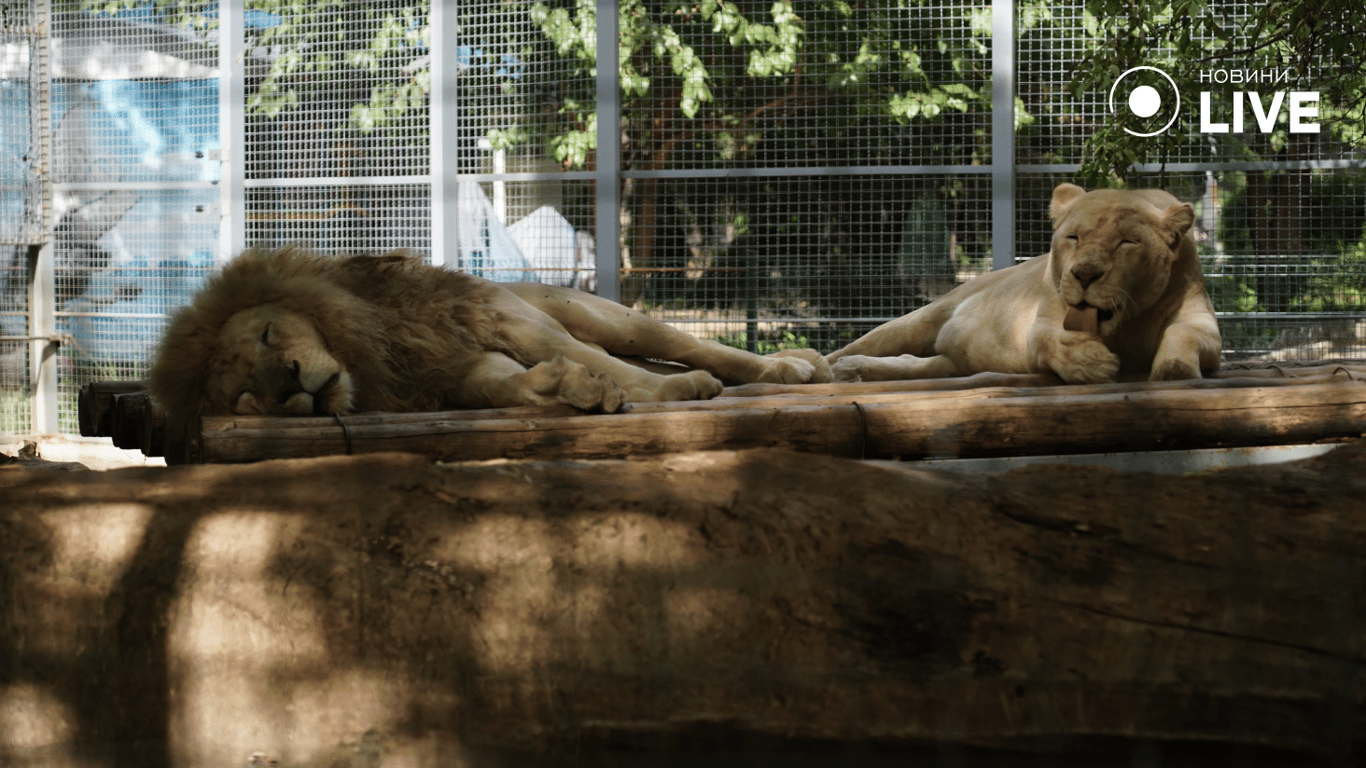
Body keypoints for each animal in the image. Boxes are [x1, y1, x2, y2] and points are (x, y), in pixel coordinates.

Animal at [153, 244, 825, 420]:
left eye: (269, 335)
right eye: (246, 396)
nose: (293, 384)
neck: (374, 352)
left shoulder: (503, 320)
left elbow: (611, 366)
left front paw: (668, 394)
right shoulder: (453, 373)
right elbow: (511, 385)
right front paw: (572, 390)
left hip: (602, 315)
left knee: (683, 347)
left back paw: (792, 366)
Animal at [825, 183, 1223, 385]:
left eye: (1126, 242)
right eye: (1074, 237)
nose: (1084, 274)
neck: (1125, 324)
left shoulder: (1203, 323)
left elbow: (1185, 334)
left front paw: (1174, 367)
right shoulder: (1043, 320)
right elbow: (1050, 341)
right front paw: (1089, 362)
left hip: (949, 362)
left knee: (913, 363)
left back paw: (854, 370)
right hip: (923, 316)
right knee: (862, 345)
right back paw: (828, 367)